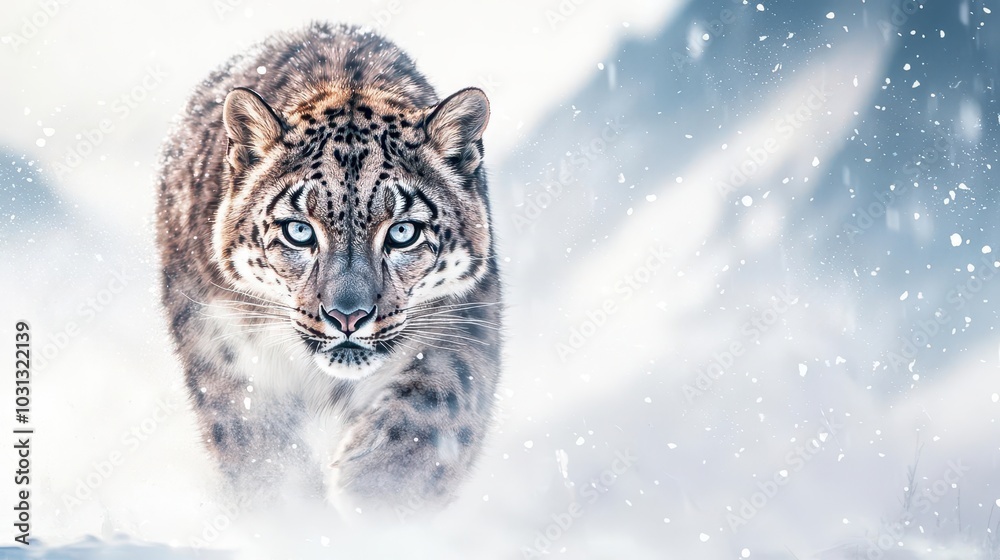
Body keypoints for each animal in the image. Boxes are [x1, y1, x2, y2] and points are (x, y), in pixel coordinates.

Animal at [155, 22, 502, 516]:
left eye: (402, 232)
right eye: (299, 230)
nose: (347, 316)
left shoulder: (461, 322)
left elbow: (438, 405)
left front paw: (379, 488)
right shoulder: (225, 350)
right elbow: (257, 447)